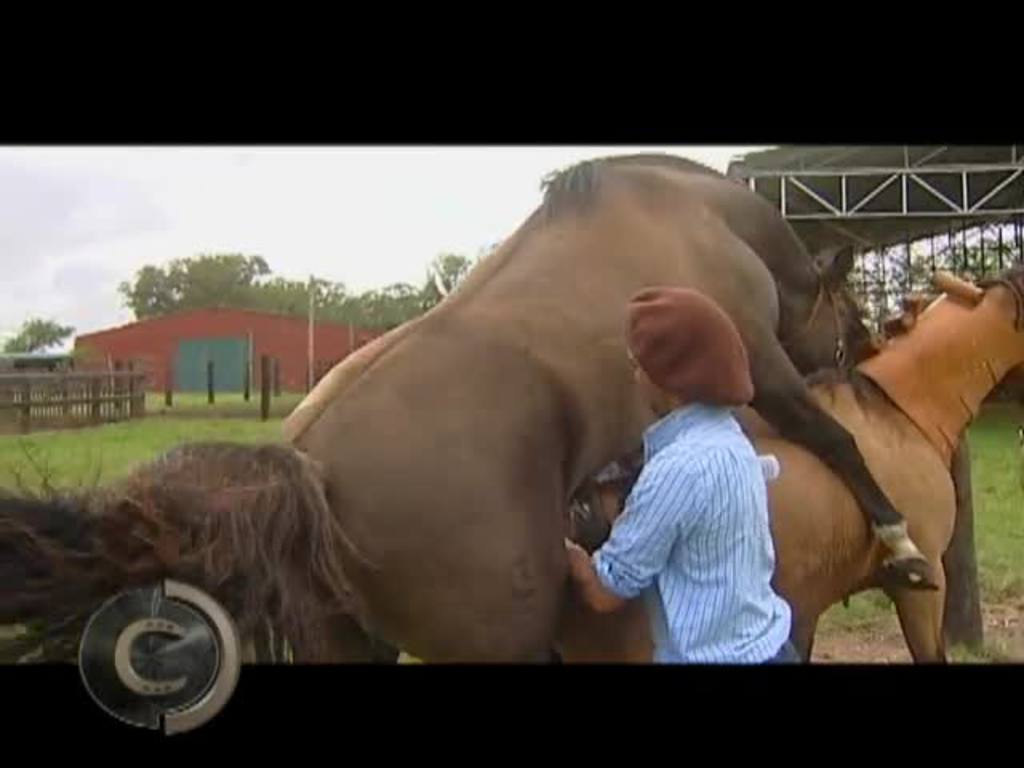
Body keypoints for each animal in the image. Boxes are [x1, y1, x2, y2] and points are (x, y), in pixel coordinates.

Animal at [2, 154, 905, 663]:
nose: (867, 354)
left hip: (354, 645)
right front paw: (898, 542)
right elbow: (835, 443)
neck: (697, 216)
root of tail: (310, 465)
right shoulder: (761, 365)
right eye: (848, 311)